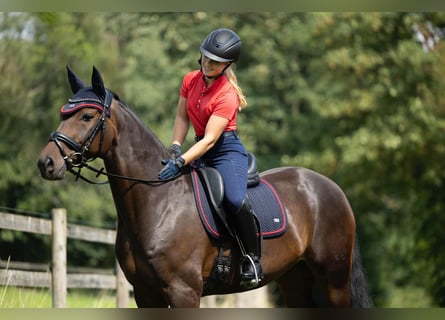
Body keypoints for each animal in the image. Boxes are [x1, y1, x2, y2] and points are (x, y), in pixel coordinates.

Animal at [37, 67, 372, 308]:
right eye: (63, 113)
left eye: (86, 116)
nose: (46, 163)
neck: (159, 201)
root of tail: (330, 187)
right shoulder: (146, 294)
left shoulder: (183, 291)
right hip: (295, 278)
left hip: (334, 279)